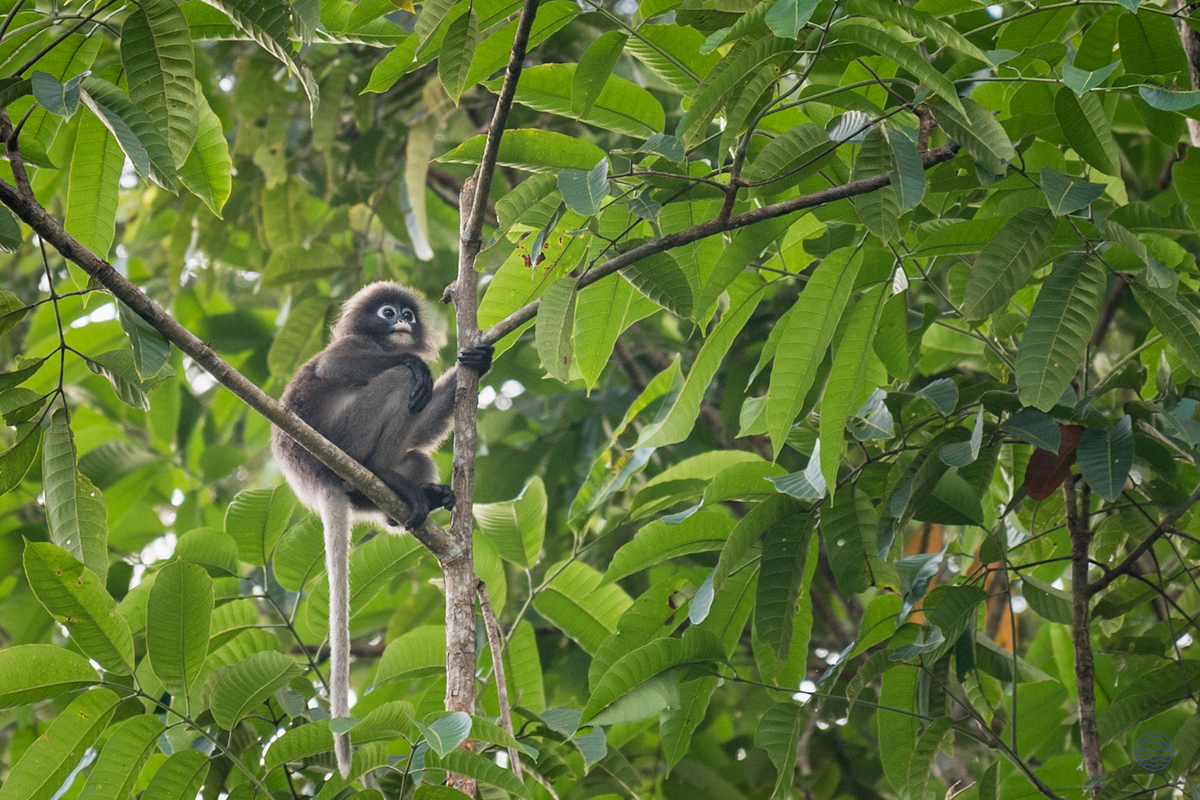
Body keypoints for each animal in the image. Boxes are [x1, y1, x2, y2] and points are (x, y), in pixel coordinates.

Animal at [270, 282, 493, 777]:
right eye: (388, 312)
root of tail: (320, 477)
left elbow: (425, 422)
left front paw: (478, 361)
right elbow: (338, 365)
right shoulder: (352, 347)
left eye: (408, 313)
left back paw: (409, 498)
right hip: (344, 437)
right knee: (397, 381)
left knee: (416, 449)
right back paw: (380, 469)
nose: (402, 323)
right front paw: (417, 361)